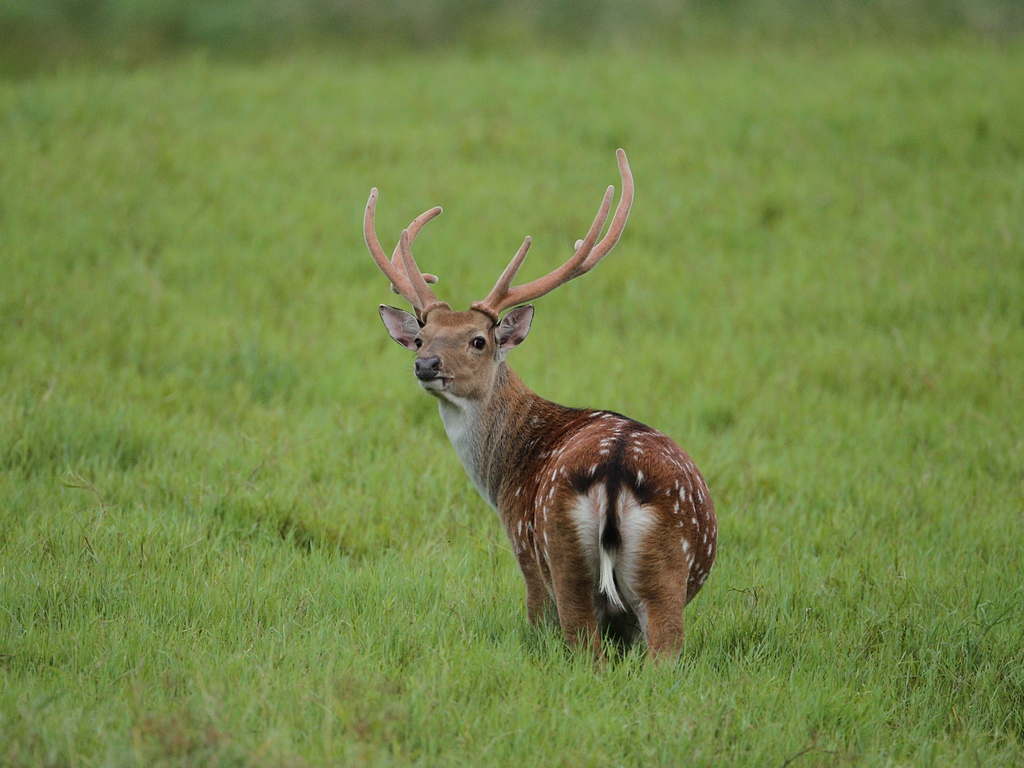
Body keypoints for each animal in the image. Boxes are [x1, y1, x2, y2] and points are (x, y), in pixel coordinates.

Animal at [364, 150, 716, 663]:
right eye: (422, 337)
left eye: (479, 340)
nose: (426, 364)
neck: (503, 475)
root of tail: (615, 470)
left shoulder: (523, 549)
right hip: (659, 569)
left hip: (561, 554)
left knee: (586, 644)